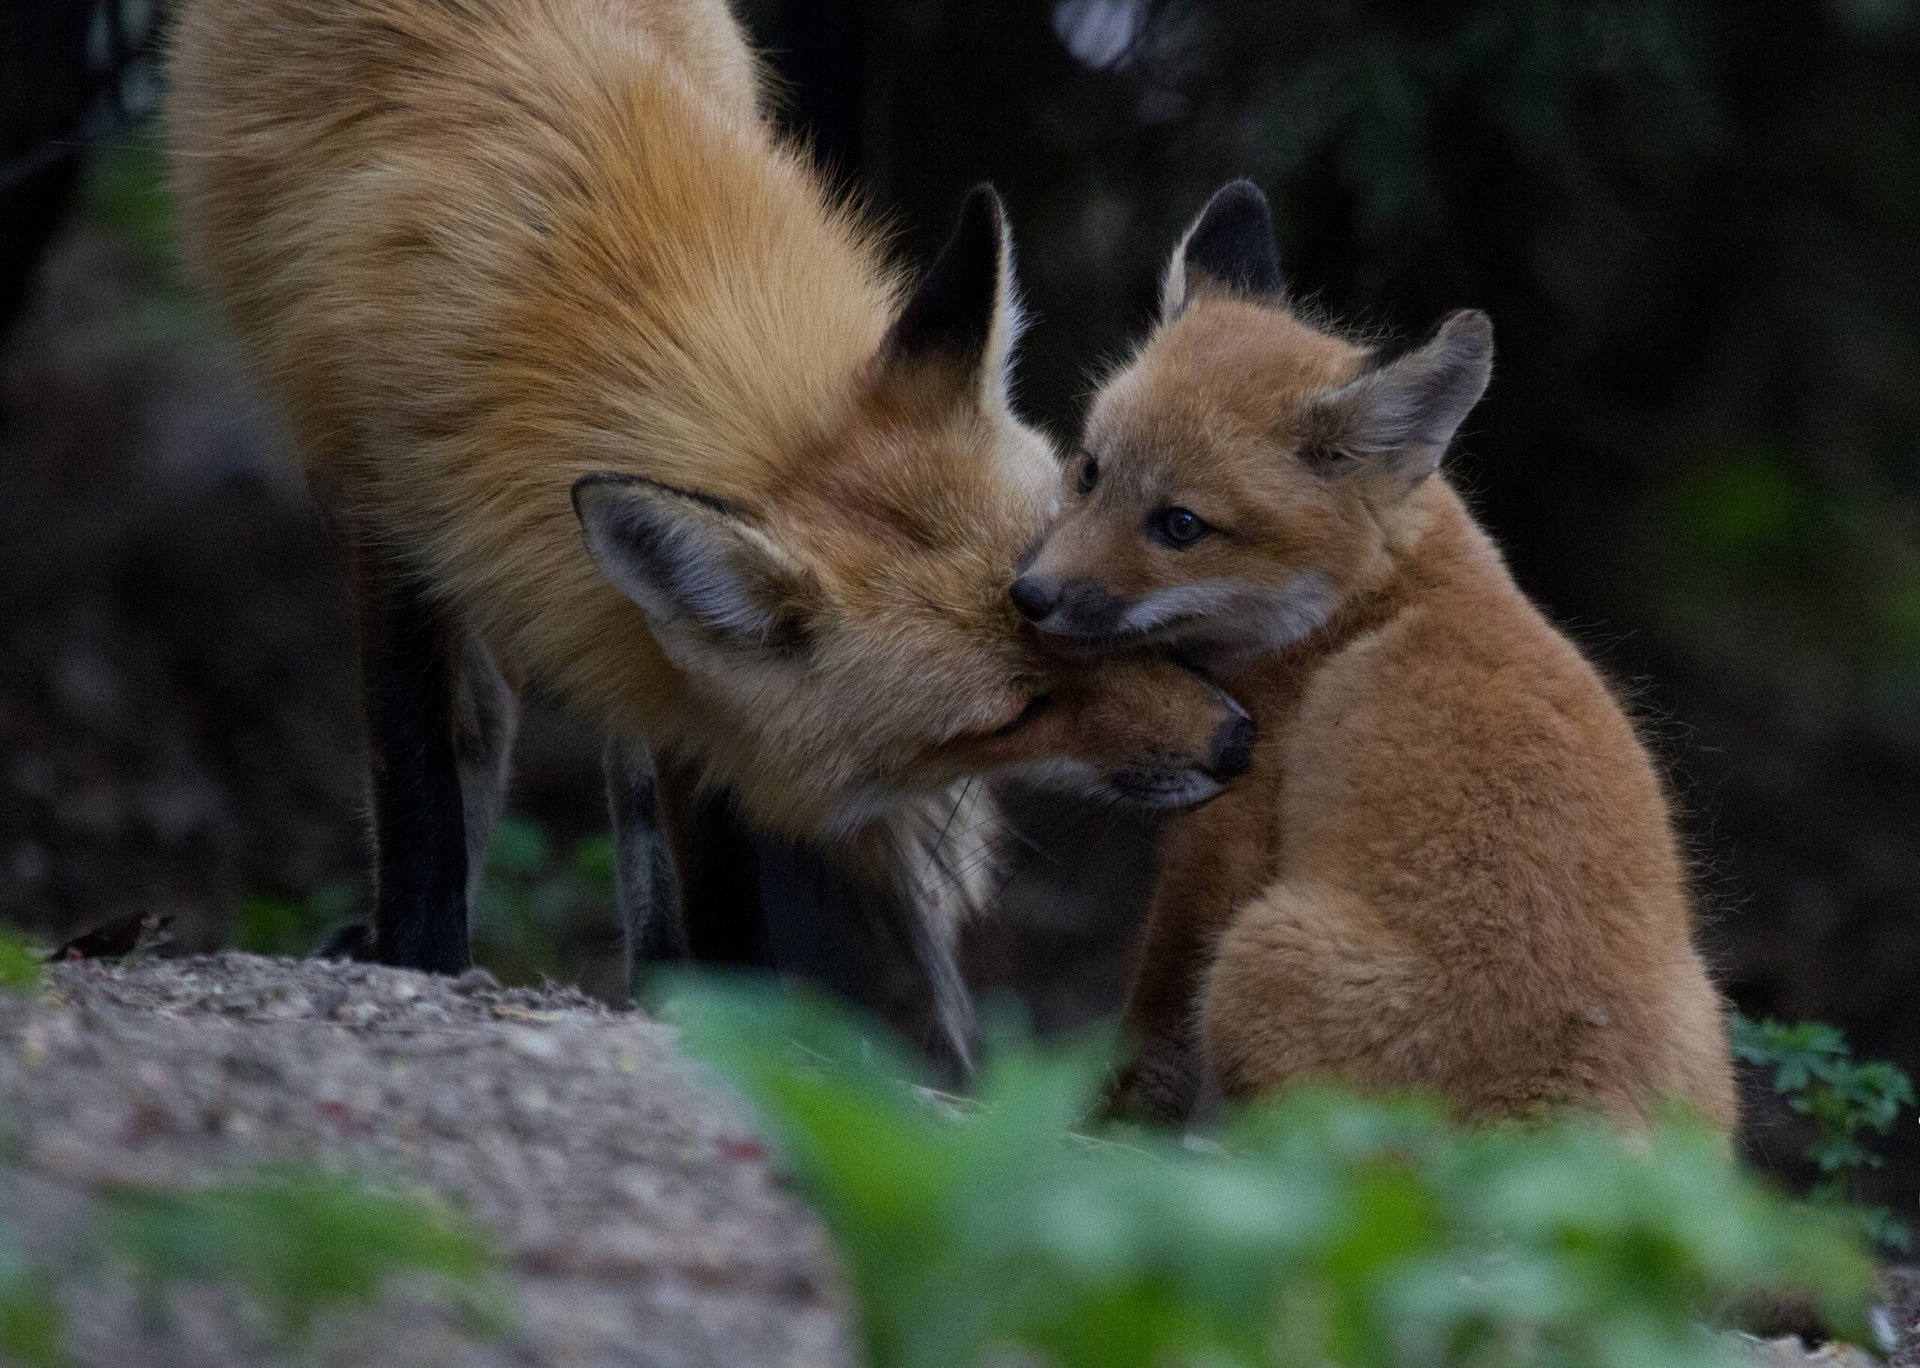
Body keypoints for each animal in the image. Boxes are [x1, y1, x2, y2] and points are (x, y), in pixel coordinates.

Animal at [162, 0, 1255, 1056]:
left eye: (1086, 600)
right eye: (1015, 715)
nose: (1236, 743)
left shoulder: (681, 664)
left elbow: (706, 828)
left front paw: (738, 1011)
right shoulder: (387, 508)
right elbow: (421, 778)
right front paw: (422, 959)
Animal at [1012, 181, 1738, 1131]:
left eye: (1181, 526)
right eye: (1090, 472)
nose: (1030, 595)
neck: (1357, 606)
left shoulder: (1224, 835)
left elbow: (1151, 1035)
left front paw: (1097, 1129)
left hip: (1256, 956)